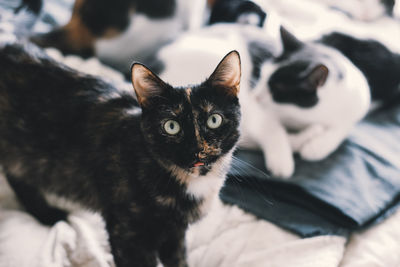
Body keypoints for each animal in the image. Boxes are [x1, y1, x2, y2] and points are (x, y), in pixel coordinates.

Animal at [0, 40, 241, 267]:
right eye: (171, 126)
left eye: (214, 120)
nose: (197, 150)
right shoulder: (127, 234)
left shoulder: (174, 234)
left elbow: (179, 260)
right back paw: (49, 215)